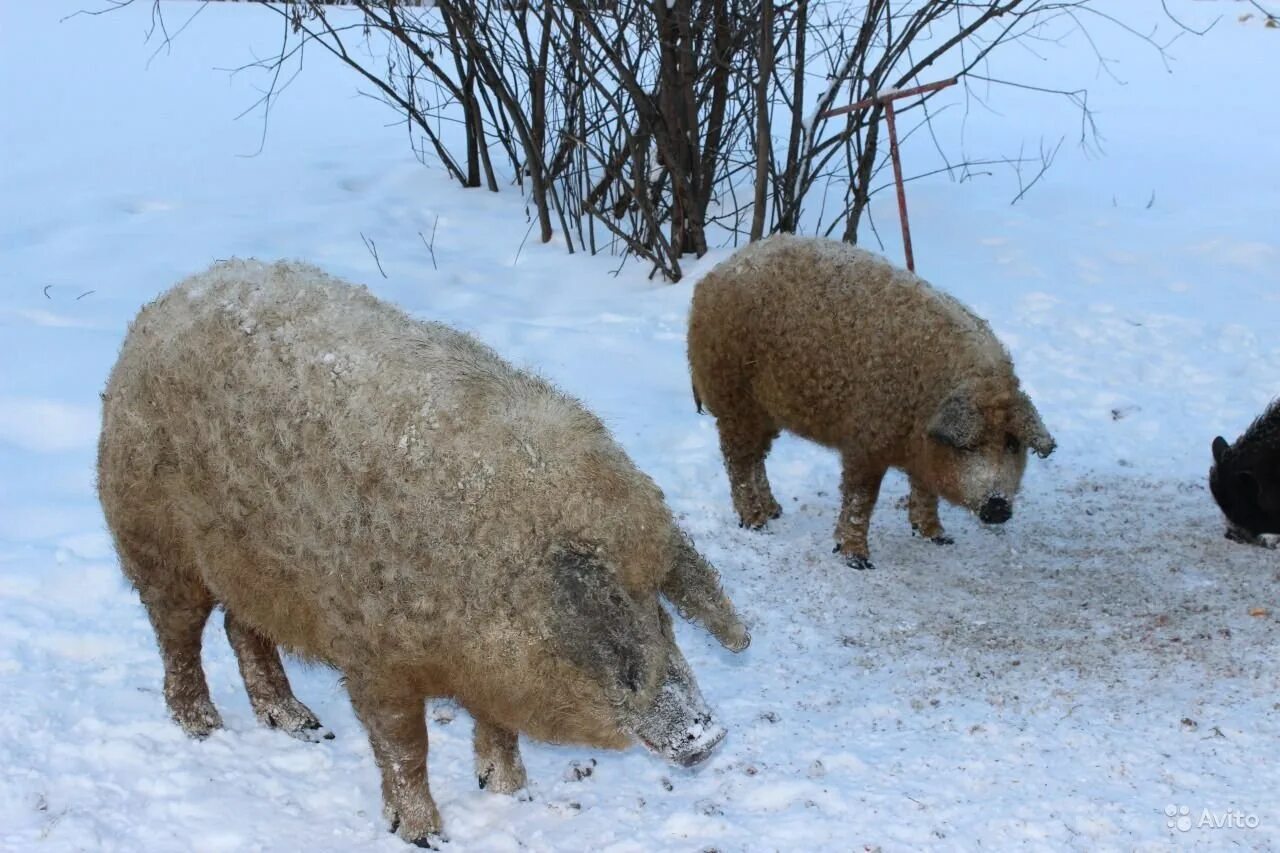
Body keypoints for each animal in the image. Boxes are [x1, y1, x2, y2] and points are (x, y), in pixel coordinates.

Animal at [99, 258, 747, 845]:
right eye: (606, 619)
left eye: (660, 608)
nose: (708, 735)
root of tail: (168, 300)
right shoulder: (370, 651)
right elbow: (403, 745)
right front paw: (424, 834)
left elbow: (497, 728)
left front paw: (510, 792)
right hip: (149, 532)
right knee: (177, 632)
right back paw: (203, 727)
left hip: (250, 565)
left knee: (242, 628)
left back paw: (302, 725)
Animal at [686, 233, 1054, 568]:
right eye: (969, 445)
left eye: (1012, 443)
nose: (998, 505)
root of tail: (711, 278)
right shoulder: (865, 439)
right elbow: (861, 497)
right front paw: (857, 559)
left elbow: (925, 489)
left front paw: (937, 537)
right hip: (733, 398)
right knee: (737, 460)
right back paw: (756, 522)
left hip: (765, 410)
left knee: (757, 457)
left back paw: (775, 511)